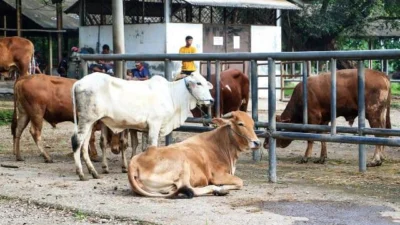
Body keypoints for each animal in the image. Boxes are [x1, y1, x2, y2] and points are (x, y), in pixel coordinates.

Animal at [70, 72, 214, 181]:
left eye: (206, 83)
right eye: (198, 83)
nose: (211, 100)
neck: (172, 95)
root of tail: (79, 82)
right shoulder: (155, 124)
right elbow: (152, 146)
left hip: (90, 122)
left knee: (84, 145)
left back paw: (93, 172)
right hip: (86, 119)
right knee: (77, 141)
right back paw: (81, 173)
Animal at [126, 111, 260, 198]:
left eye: (253, 124)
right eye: (240, 124)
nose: (257, 142)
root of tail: (134, 163)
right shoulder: (217, 175)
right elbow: (240, 182)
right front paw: (221, 187)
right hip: (184, 165)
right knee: (189, 189)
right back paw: (218, 190)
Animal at [262, 68, 390, 167]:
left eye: (278, 128)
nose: (265, 145)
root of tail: (382, 75)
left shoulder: (313, 118)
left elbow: (310, 138)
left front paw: (305, 157)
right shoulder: (323, 120)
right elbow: (322, 137)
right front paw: (322, 158)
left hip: (373, 114)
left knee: (378, 134)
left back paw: (375, 160)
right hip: (381, 115)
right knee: (384, 132)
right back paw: (382, 157)